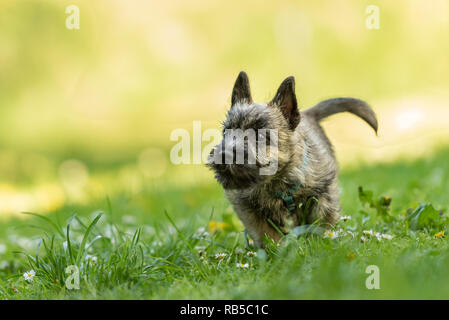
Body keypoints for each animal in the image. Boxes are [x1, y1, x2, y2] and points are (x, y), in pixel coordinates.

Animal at [206, 72, 378, 248]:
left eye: (260, 136)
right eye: (226, 131)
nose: (224, 155)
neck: (276, 182)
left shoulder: (323, 198)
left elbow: (321, 225)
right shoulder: (250, 211)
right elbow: (268, 234)